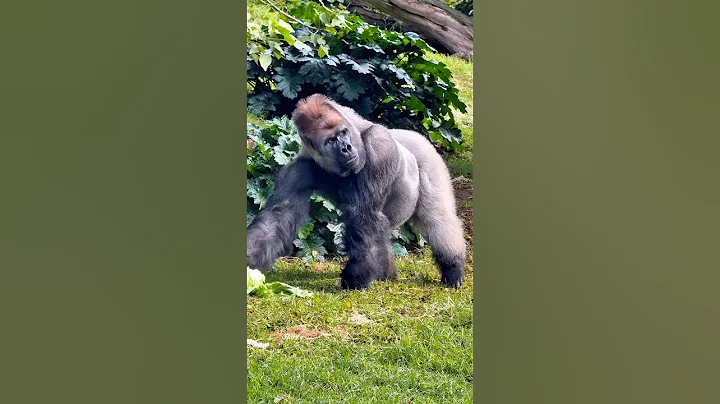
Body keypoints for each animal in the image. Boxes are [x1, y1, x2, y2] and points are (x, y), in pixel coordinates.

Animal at [247, 94, 466, 290]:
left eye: (343, 132)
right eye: (330, 140)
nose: (346, 147)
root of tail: (407, 133)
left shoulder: (379, 145)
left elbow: (363, 215)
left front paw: (356, 277)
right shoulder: (299, 168)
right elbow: (279, 218)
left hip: (426, 154)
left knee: (436, 217)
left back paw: (453, 267)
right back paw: (386, 274)